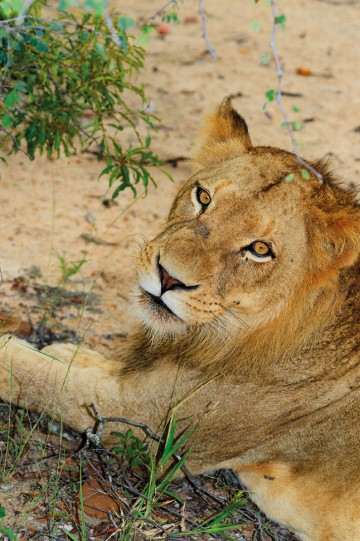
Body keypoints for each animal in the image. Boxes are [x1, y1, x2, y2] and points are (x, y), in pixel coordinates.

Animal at [0, 98, 360, 540]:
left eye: (260, 249)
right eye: (203, 196)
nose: (169, 277)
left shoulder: (145, 426)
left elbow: (43, 381)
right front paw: (69, 351)